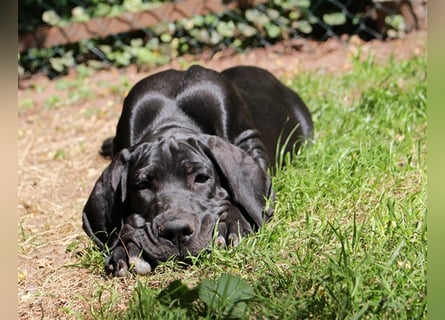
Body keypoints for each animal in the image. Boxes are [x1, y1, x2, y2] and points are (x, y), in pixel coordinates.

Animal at [83, 65, 312, 276]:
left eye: (201, 178)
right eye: (142, 185)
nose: (176, 231)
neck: (171, 118)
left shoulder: (249, 140)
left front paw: (232, 225)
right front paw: (125, 249)